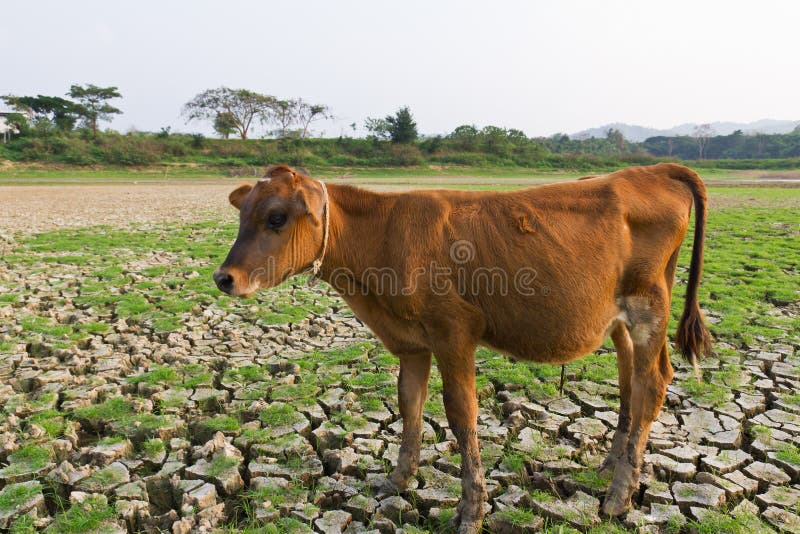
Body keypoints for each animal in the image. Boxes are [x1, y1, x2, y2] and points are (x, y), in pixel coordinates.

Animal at [214, 163, 712, 534]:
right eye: (243, 216)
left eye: (276, 217)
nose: (224, 278)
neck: (383, 240)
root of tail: (651, 170)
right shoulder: (410, 343)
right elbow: (409, 405)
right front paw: (399, 479)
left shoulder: (454, 333)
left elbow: (461, 414)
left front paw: (472, 508)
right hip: (621, 320)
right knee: (631, 380)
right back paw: (611, 466)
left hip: (649, 306)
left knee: (652, 384)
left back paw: (619, 495)